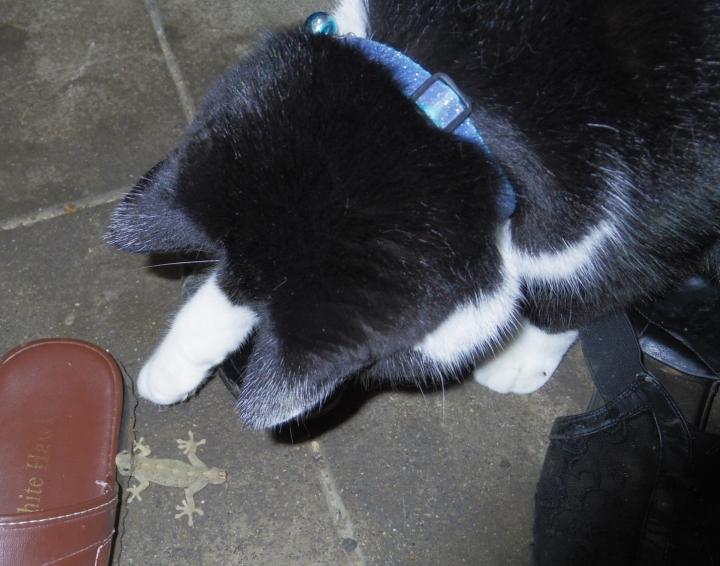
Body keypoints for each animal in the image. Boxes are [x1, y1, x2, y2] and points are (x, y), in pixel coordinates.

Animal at [108, 0, 720, 429]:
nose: (232, 377)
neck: (441, 102)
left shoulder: (659, 217)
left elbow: (592, 284)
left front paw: (526, 350)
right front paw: (177, 363)